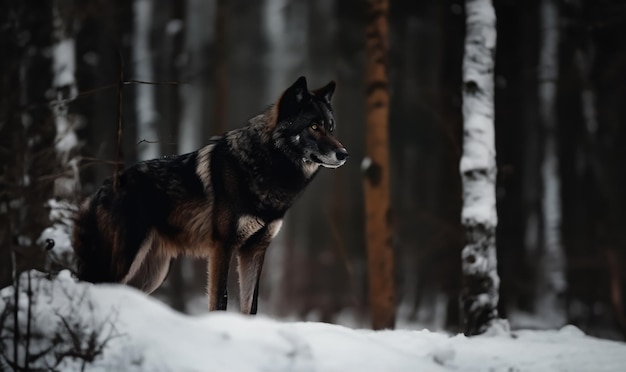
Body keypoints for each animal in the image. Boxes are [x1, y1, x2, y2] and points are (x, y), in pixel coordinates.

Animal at [74, 77, 346, 314]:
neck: (265, 165)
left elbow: (251, 306)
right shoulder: (222, 247)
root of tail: (99, 190)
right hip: (123, 263)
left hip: (152, 275)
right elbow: (221, 299)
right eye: (314, 126)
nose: (344, 154)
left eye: (331, 128)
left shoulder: (255, 250)